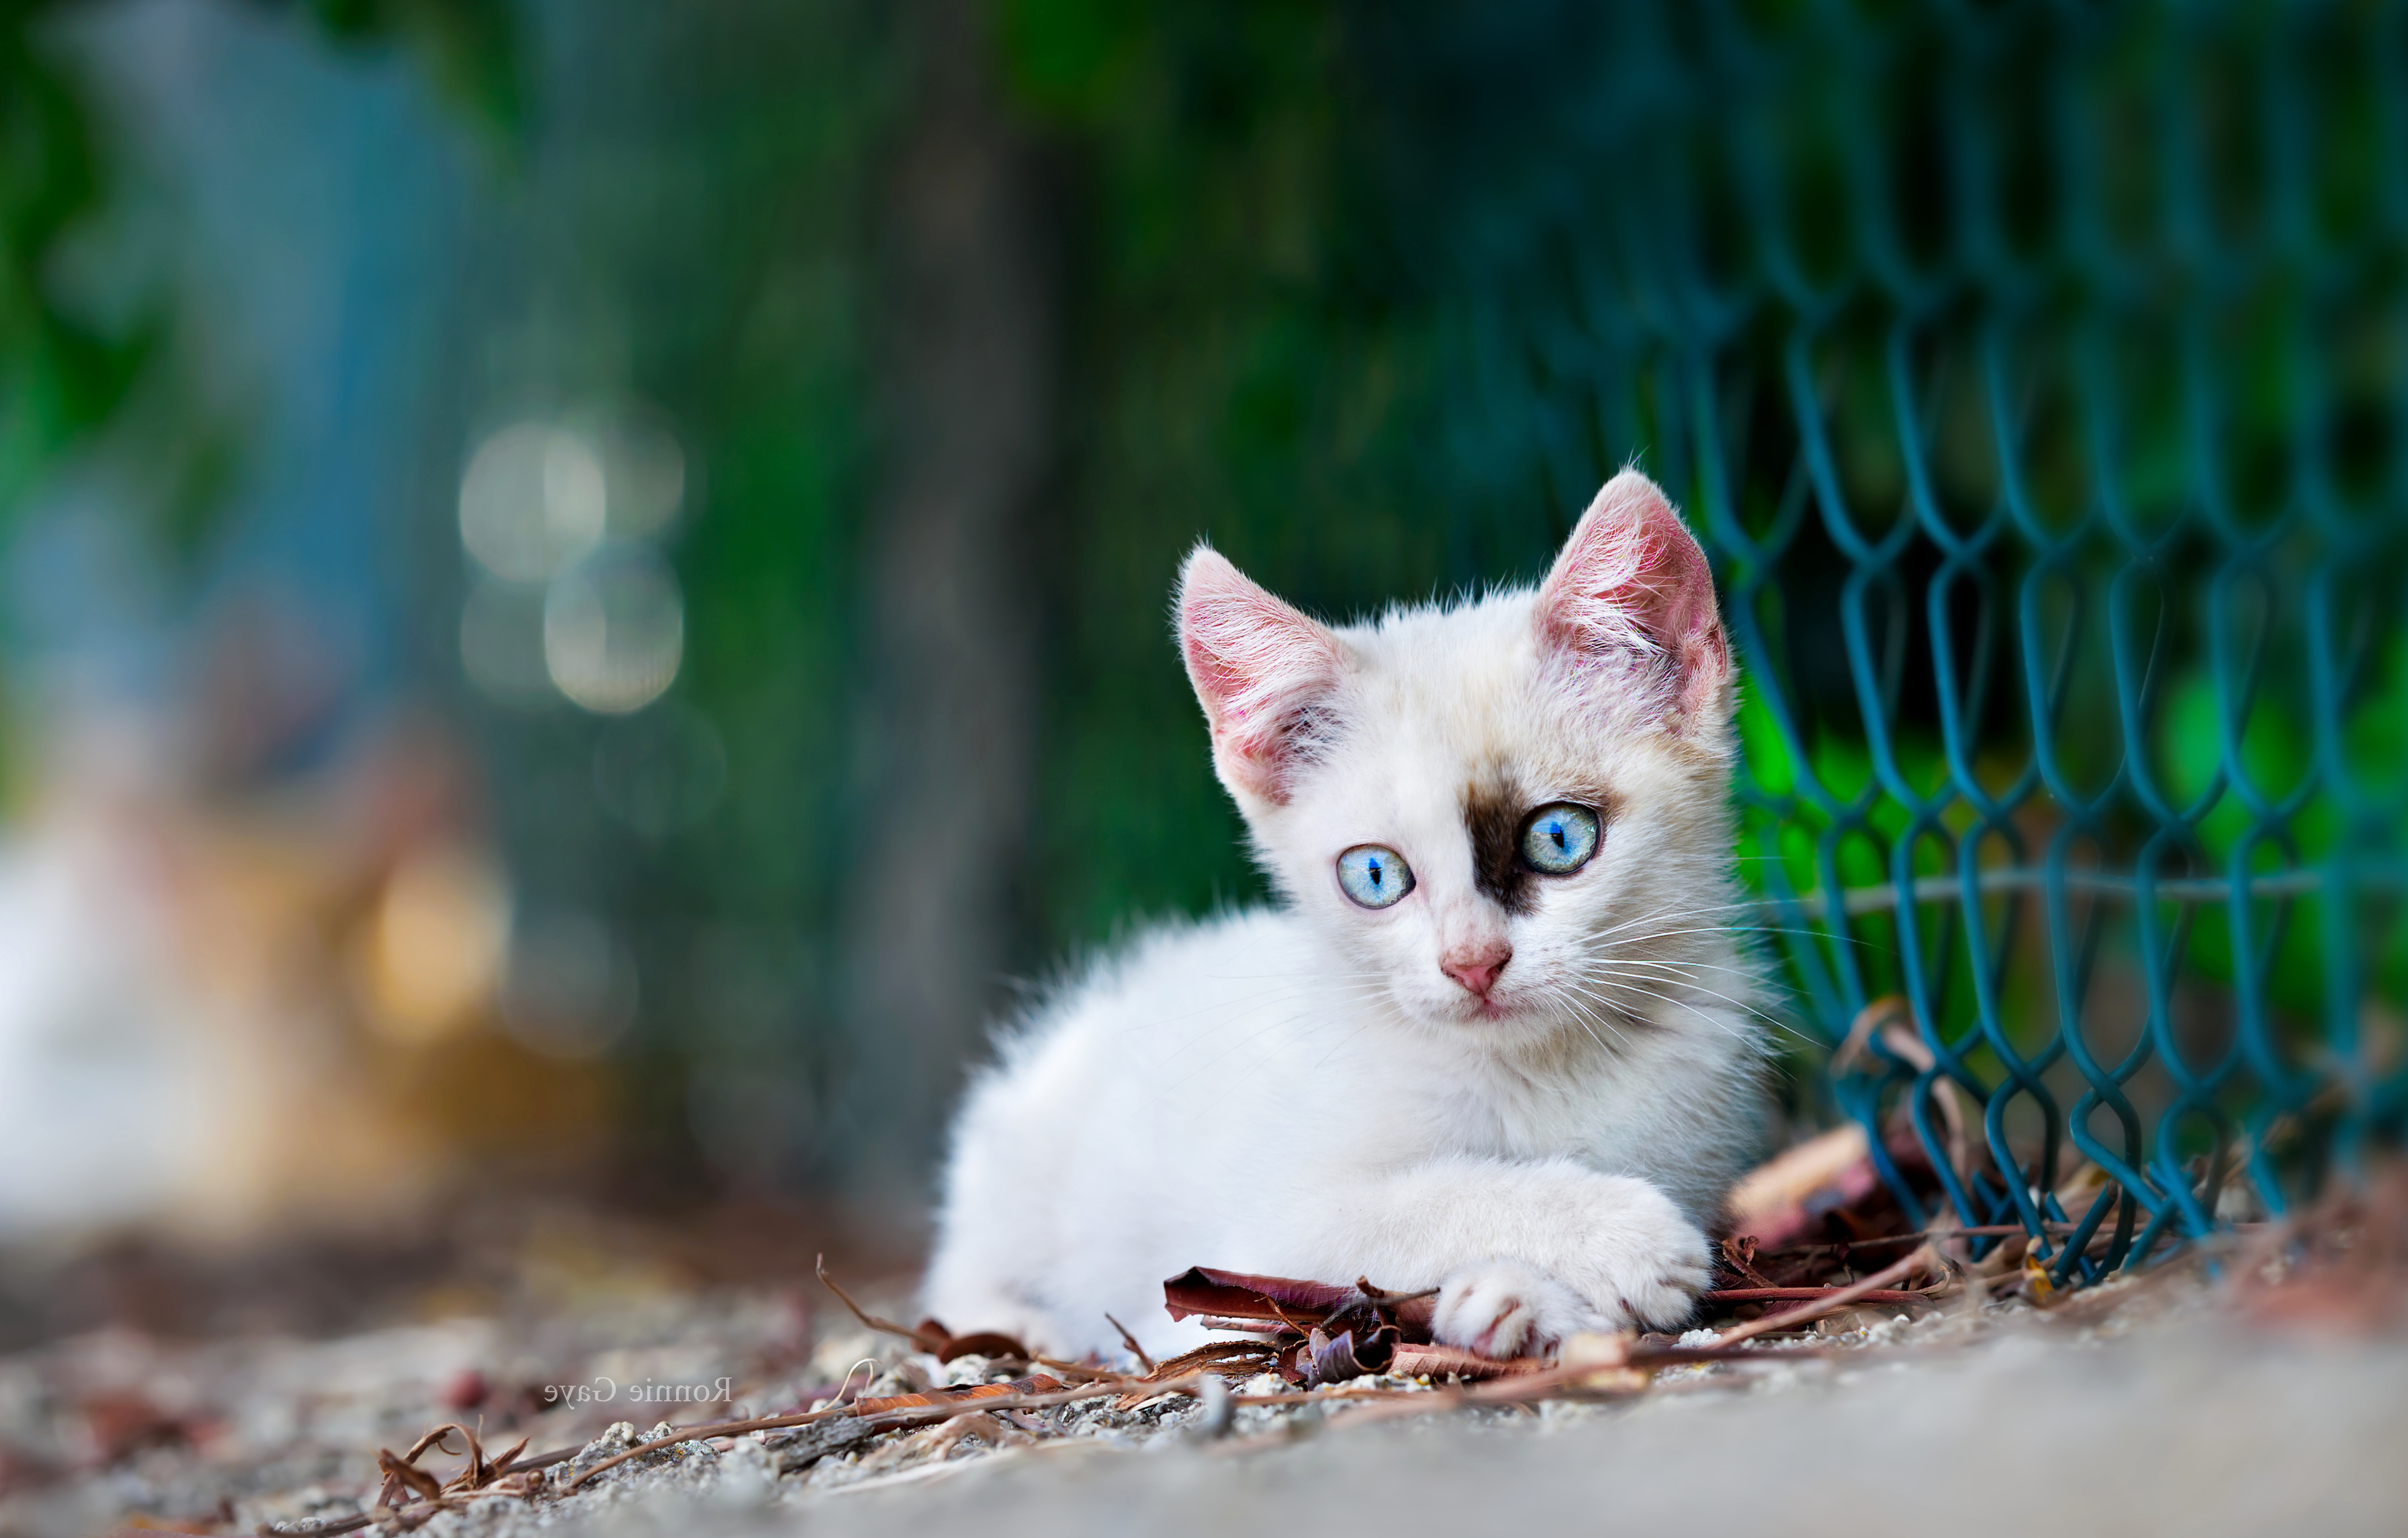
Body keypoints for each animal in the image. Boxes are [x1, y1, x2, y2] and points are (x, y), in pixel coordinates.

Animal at [919, 472, 1772, 1357]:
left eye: (1559, 837)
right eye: (1374, 875)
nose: (1472, 962)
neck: (1538, 1071)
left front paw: (1517, 1299)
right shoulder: (1243, 1243)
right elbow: (1416, 1204)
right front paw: (1618, 1238)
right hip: (1024, 1154)